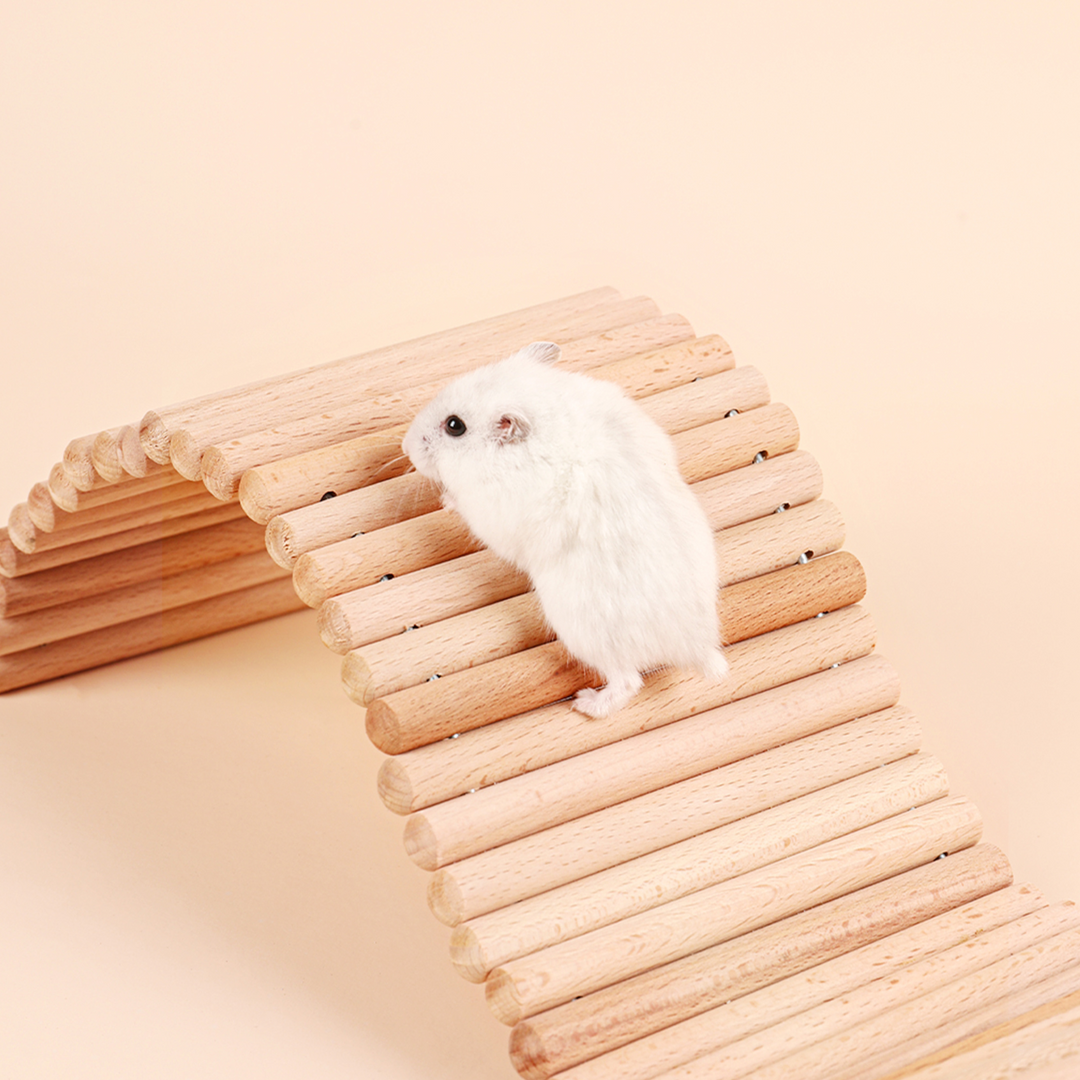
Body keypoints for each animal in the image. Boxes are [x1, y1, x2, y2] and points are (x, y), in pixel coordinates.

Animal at [401, 341, 728, 717]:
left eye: (455, 426)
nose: (404, 447)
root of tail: (695, 646)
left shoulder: (489, 513)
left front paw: (445, 501)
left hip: (584, 633)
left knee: (628, 682)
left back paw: (585, 703)